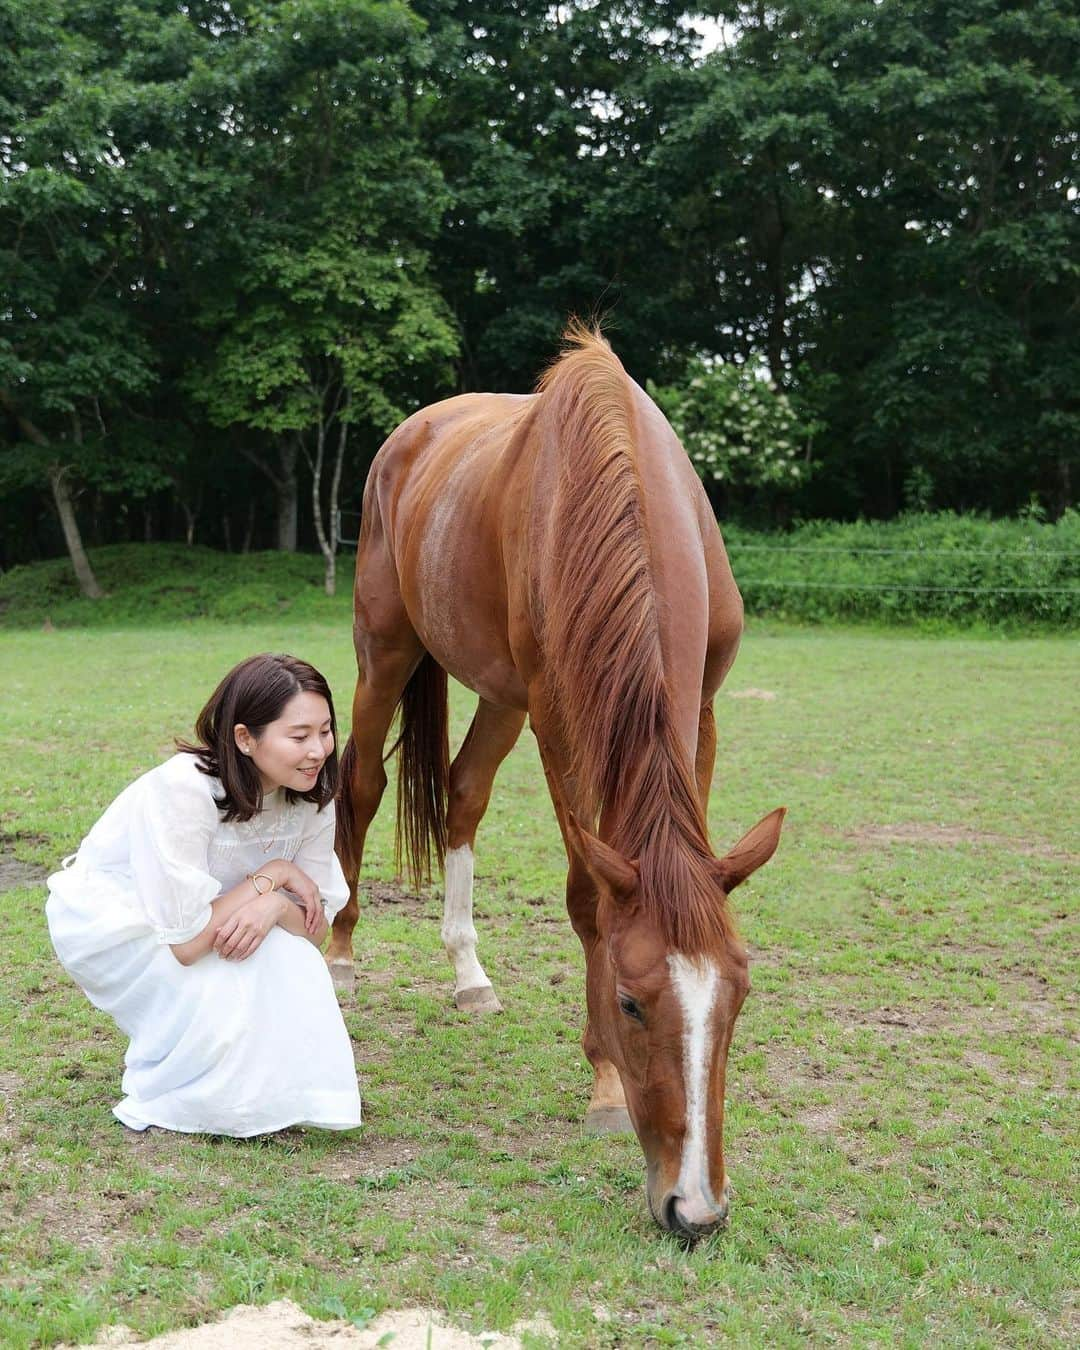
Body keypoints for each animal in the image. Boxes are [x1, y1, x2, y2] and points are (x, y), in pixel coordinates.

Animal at [329, 324, 783, 1236]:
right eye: (630, 1001)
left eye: (739, 997)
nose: (695, 1208)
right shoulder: (560, 721)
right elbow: (586, 899)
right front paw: (605, 1085)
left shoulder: (702, 708)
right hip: (386, 652)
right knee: (360, 787)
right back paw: (343, 955)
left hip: (499, 693)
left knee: (464, 794)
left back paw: (469, 975)